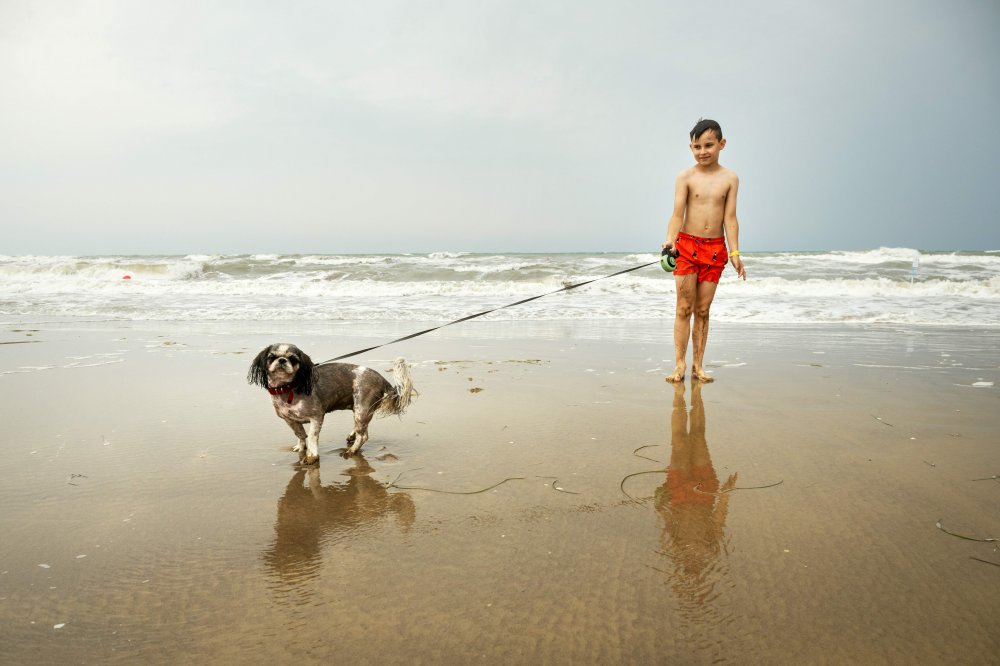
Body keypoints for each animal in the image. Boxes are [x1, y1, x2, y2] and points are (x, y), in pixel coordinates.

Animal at [249, 342, 414, 462]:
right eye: (271, 357)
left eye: (293, 359)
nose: (282, 360)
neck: (288, 388)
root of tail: (380, 378)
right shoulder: (289, 420)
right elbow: (300, 434)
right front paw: (301, 447)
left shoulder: (316, 417)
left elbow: (312, 437)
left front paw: (311, 455)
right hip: (358, 409)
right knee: (360, 429)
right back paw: (352, 436)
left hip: (362, 409)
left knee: (364, 436)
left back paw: (352, 450)